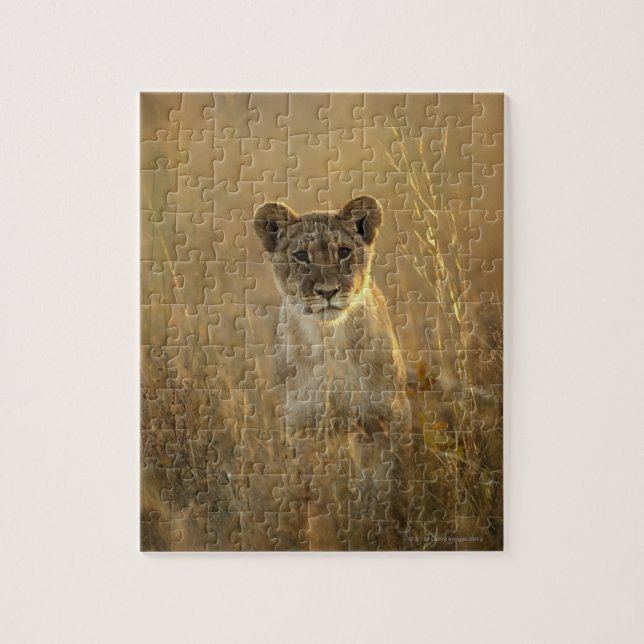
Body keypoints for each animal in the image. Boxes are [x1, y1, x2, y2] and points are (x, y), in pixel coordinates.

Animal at [253, 195, 411, 438]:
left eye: (343, 252)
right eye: (301, 256)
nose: (328, 291)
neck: (329, 339)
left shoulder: (390, 410)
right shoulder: (301, 421)